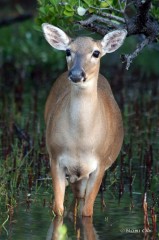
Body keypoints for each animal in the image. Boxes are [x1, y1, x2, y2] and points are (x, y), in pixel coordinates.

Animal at [42, 23, 126, 218]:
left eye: (96, 52)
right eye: (68, 51)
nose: (75, 74)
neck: (80, 142)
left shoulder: (100, 164)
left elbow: (88, 212)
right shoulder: (55, 158)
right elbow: (58, 210)